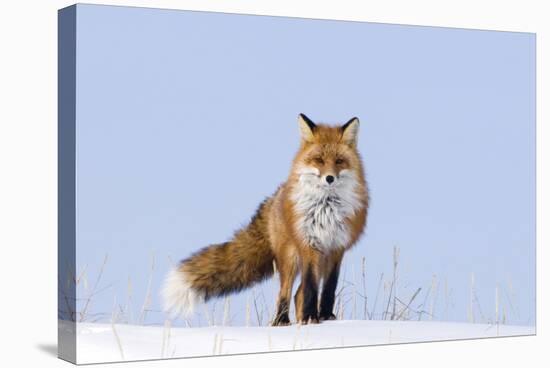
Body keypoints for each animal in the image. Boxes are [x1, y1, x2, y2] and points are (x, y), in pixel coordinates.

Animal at [164, 114, 370, 324]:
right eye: (319, 160)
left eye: (339, 161)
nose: (329, 178)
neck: (326, 209)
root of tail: (274, 197)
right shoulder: (309, 244)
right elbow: (311, 288)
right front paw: (311, 317)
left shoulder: (337, 247)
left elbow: (329, 288)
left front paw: (326, 317)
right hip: (290, 257)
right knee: (286, 292)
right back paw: (282, 321)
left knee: (297, 294)